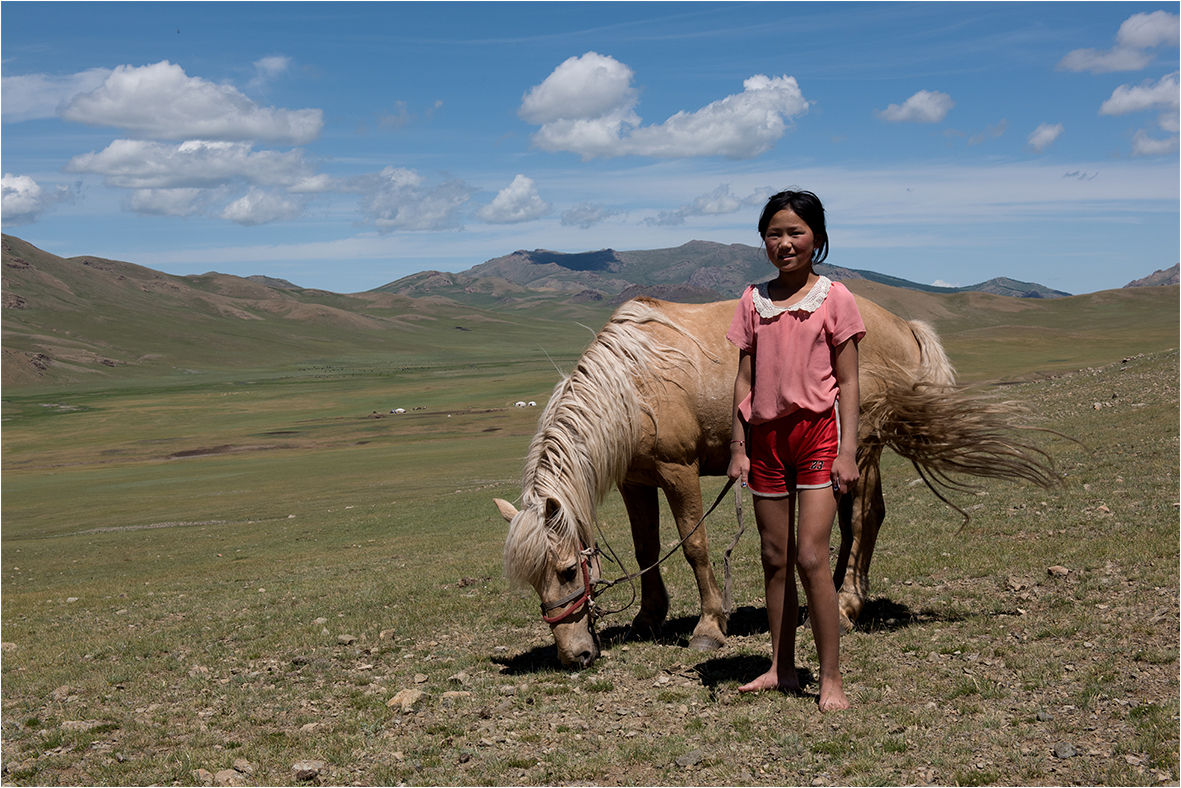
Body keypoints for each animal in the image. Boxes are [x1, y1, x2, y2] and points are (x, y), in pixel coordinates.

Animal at [493, 298, 1058, 671]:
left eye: (568, 571)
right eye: (538, 581)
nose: (576, 655)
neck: (633, 386)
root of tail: (903, 324)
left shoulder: (679, 470)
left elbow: (694, 546)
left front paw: (708, 628)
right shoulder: (637, 480)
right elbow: (645, 547)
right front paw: (648, 619)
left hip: (862, 445)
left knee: (864, 516)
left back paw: (847, 605)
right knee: (854, 518)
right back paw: (827, 596)